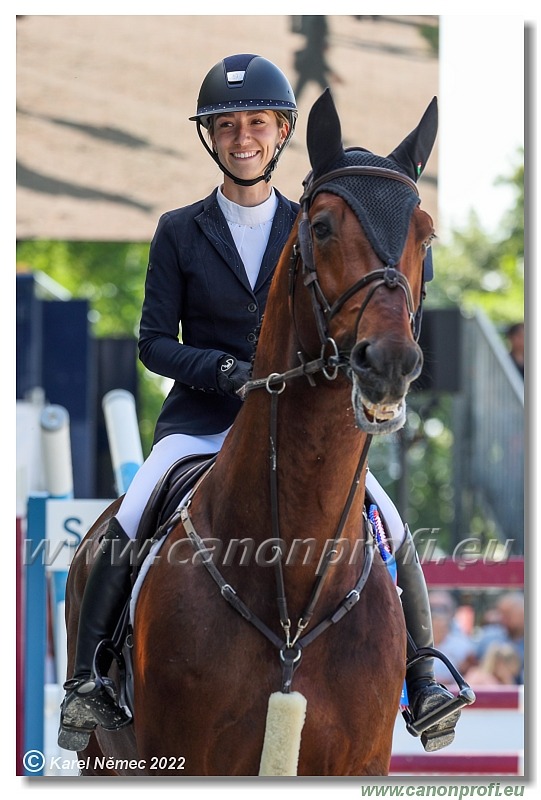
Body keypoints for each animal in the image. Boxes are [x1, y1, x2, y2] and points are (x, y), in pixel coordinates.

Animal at [65, 87, 440, 776]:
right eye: (321, 227)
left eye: (425, 236)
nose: (391, 364)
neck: (290, 577)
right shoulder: (182, 758)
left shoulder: (360, 763)